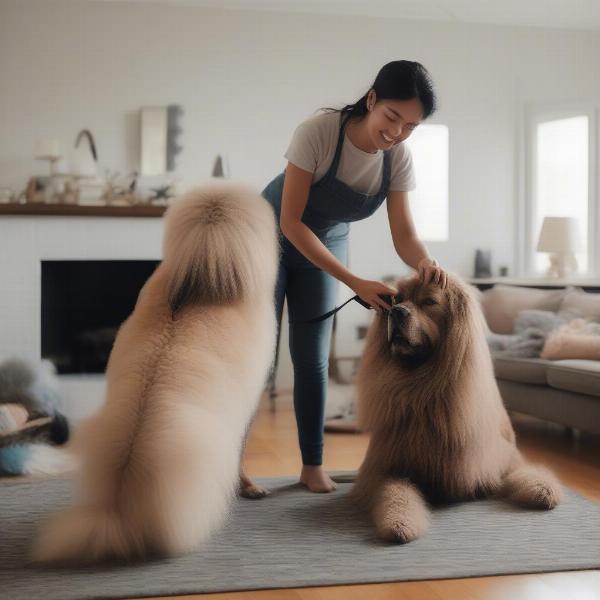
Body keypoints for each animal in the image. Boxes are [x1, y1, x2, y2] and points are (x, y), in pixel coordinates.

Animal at [352, 276, 564, 544]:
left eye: (429, 301)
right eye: (396, 300)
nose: (396, 311)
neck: (423, 391)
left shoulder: (499, 461)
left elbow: (526, 474)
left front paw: (542, 489)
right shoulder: (385, 471)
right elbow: (396, 495)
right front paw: (400, 524)